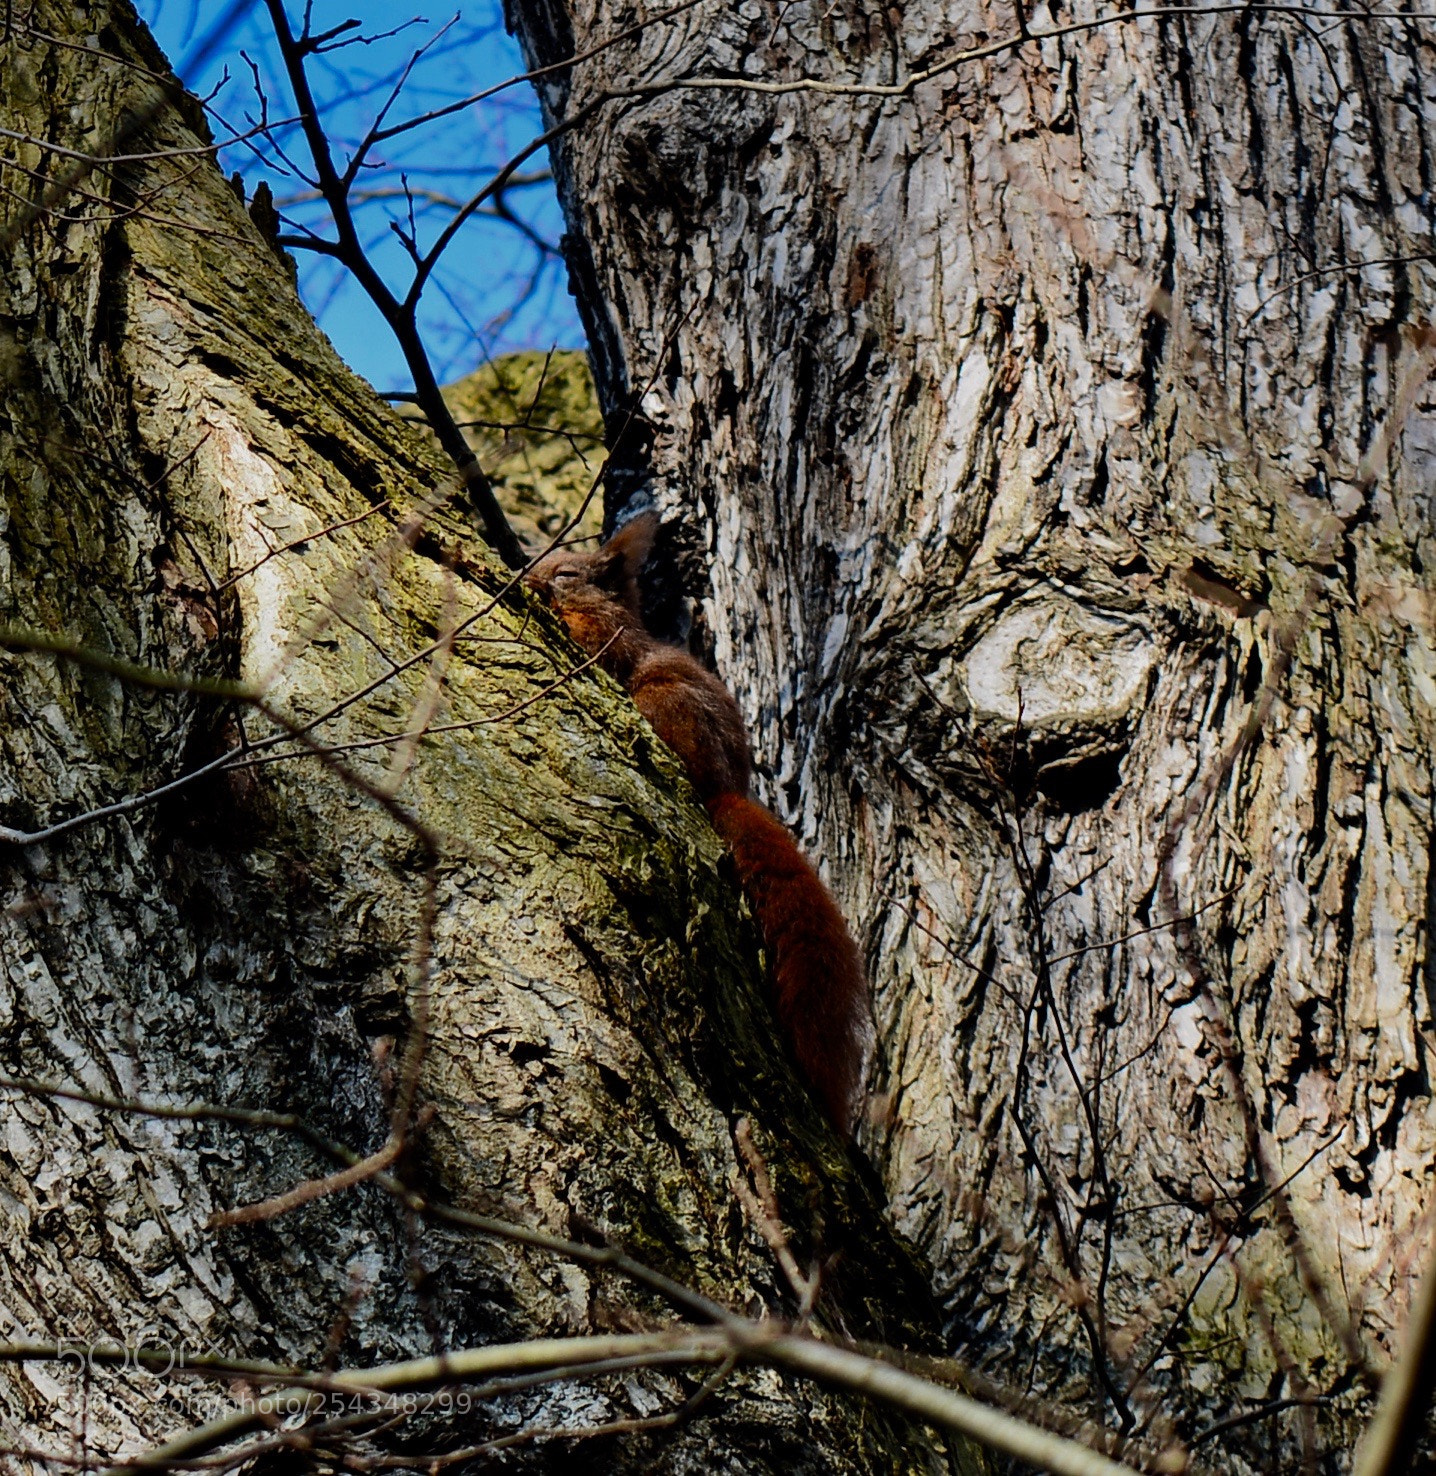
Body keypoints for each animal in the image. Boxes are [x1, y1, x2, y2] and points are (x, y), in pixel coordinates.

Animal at [525, 513, 871, 1134]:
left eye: (567, 573)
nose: (529, 575)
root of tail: (723, 788)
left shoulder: (611, 640)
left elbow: (590, 643)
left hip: (667, 704)